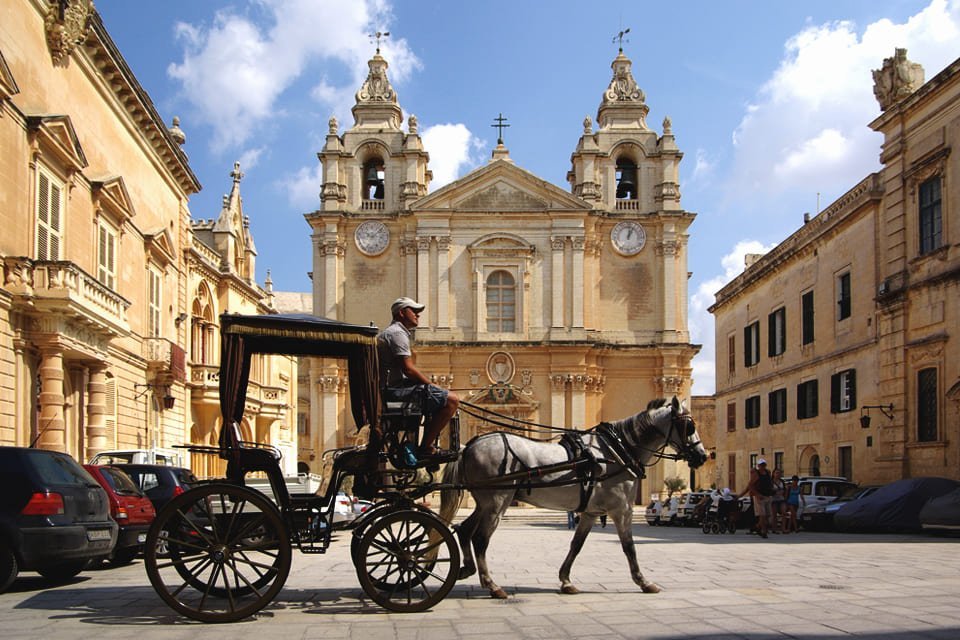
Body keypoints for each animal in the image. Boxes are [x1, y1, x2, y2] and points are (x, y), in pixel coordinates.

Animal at [438, 396, 708, 600]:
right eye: (690, 427)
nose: (702, 456)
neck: (615, 450)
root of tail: (467, 446)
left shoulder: (590, 512)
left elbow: (576, 545)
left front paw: (566, 581)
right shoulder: (622, 509)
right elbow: (629, 547)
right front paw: (643, 582)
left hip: (486, 503)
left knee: (464, 530)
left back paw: (467, 569)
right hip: (497, 502)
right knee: (480, 539)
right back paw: (492, 585)